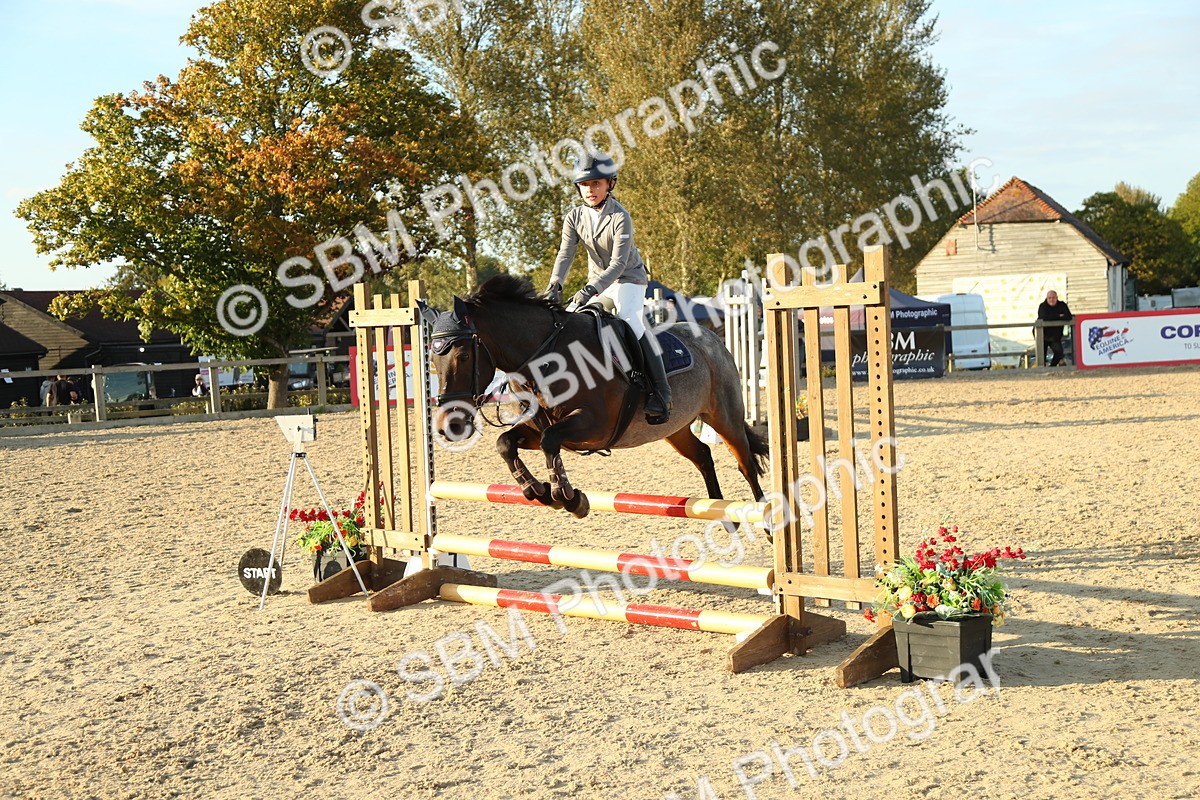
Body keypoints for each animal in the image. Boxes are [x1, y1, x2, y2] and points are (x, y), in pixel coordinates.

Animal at [428, 274, 769, 518]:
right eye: (432, 359)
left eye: (462, 356)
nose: (450, 426)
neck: (547, 356)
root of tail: (712, 337)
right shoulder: (541, 427)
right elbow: (505, 443)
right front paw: (536, 490)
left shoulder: (593, 425)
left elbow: (551, 441)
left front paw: (567, 496)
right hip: (675, 428)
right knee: (703, 455)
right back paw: (724, 518)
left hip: (724, 417)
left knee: (746, 465)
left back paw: (765, 523)